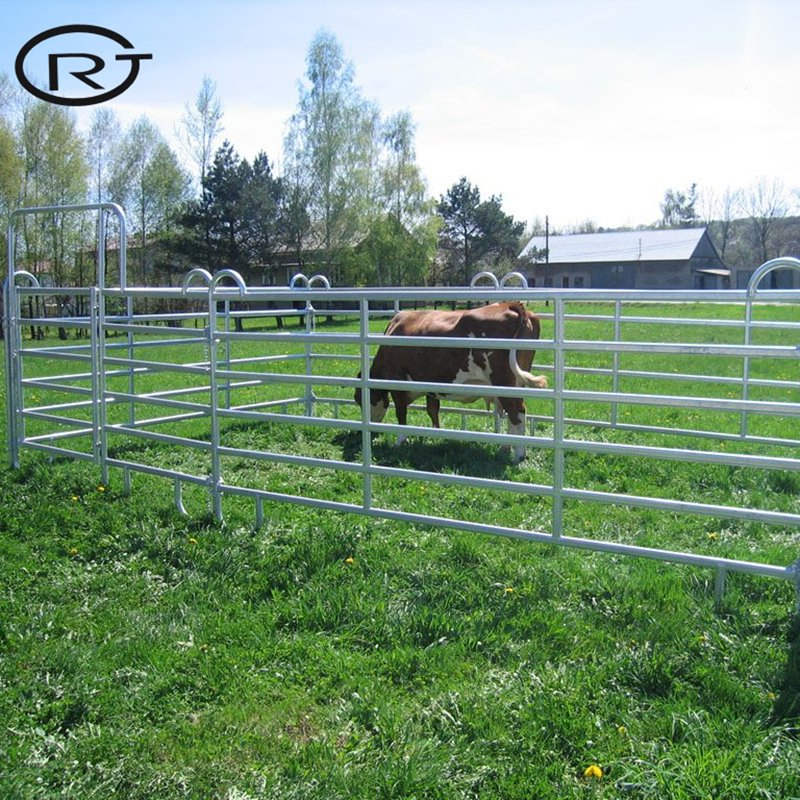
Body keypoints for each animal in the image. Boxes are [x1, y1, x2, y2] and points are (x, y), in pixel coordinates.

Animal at [354, 301, 548, 461]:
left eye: (358, 399)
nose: (360, 431)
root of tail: (509, 304)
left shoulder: (398, 384)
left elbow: (401, 414)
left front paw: (400, 442)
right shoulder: (430, 385)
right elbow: (433, 411)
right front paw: (436, 435)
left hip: (504, 383)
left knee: (517, 412)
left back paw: (519, 455)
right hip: (516, 383)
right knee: (514, 413)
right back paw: (506, 448)